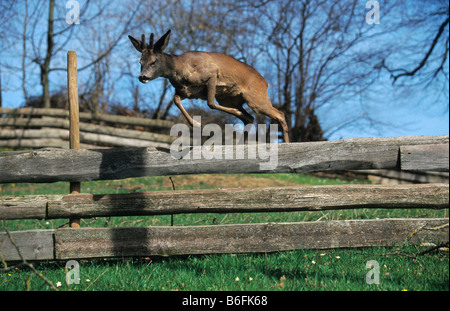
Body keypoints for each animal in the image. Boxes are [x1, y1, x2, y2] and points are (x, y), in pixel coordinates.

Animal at [128, 28, 290, 143]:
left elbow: (210, 103)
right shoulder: (188, 92)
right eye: (140, 62)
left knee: (279, 114)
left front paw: (200, 123)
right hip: (229, 98)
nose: (142, 77)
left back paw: (286, 143)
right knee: (250, 118)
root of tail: (265, 82)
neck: (181, 69)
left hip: (256, 97)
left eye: (153, 61)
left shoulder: (211, 75)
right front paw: (195, 124)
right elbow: (176, 100)